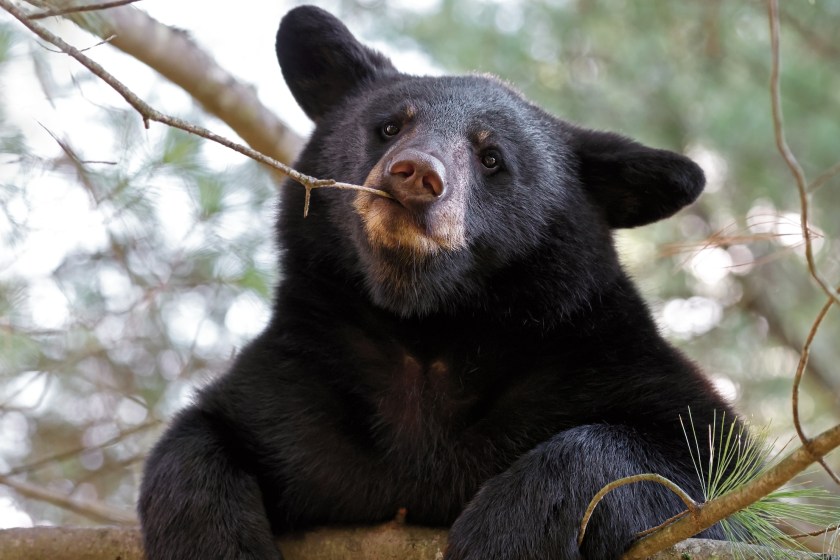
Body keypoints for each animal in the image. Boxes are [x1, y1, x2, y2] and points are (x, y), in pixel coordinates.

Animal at [138, 5, 737, 560]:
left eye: (491, 157)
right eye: (390, 126)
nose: (416, 174)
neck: (427, 330)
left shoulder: (593, 355)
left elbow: (699, 473)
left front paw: (505, 533)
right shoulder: (297, 379)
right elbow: (200, 435)